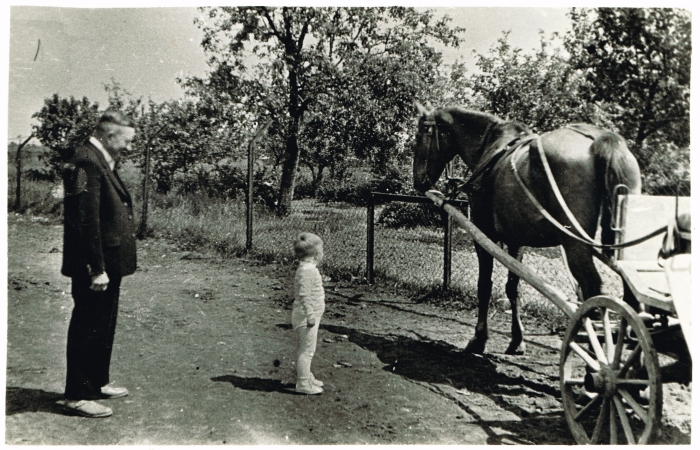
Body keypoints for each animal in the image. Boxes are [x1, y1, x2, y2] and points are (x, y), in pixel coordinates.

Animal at [412, 104, 644, 356]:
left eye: (419, 136)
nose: (418, 181)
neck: (491, 147)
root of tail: (601, 139)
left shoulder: (484, 235)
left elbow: (484, 285)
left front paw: (479, 338)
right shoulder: (517, 241)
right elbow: (513, 287)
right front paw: (517, 339)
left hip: (575, 245)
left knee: (593, 290)